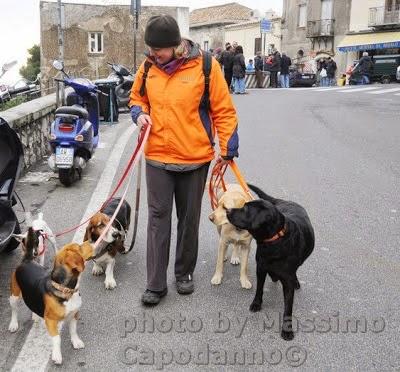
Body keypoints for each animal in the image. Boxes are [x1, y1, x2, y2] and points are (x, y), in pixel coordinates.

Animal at [227, 184, 314, 340]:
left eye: (245, 209)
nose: (227, 210)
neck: (274, 241)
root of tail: (283, 201)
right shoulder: (261, 268)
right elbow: (259, 289)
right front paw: (256, 304)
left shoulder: (287, 281)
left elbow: (288, 308)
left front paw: (287, 330)